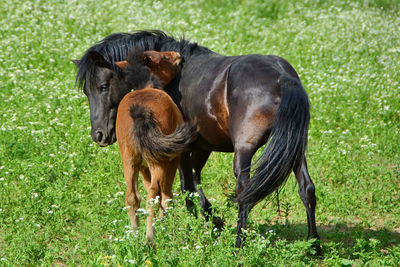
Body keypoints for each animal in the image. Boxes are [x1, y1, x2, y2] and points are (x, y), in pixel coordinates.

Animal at [73, 30, 320, 251]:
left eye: (103, 86)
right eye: (86, 91)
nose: (98, 135)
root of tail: (281, 76)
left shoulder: (182, 150)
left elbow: (187, 187)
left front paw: (196, 228)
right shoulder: (202, 146)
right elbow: (194, 181)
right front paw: (213, 222)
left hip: (244, 152)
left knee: (244, 192)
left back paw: (239, 245)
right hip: (294, 149)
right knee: (306, 188)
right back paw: (313, 245)